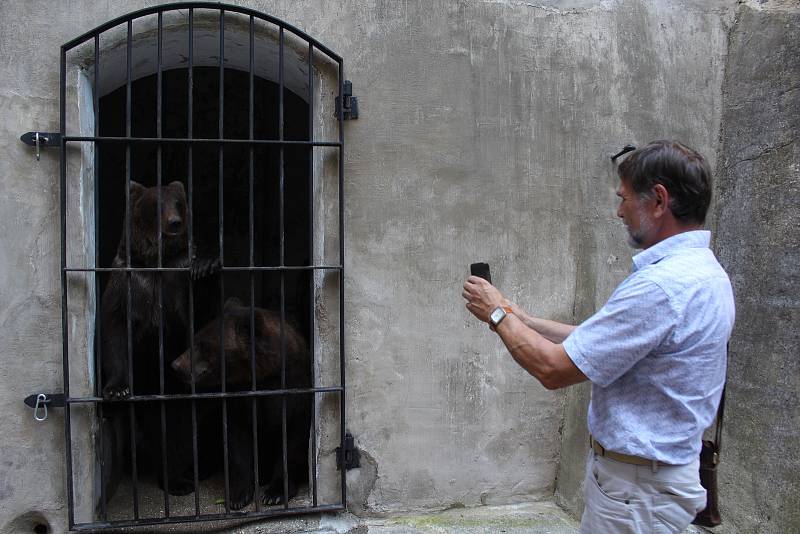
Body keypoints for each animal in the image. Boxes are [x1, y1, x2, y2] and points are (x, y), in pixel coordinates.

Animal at [170, 300, 310, 512]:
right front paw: (238, 496)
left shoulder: (295, 394)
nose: (176, 365)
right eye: (195, 339)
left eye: (203, 345)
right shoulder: (238, 400)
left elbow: (293, 441)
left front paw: (275, 493)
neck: (264, 377)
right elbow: (237, 443)